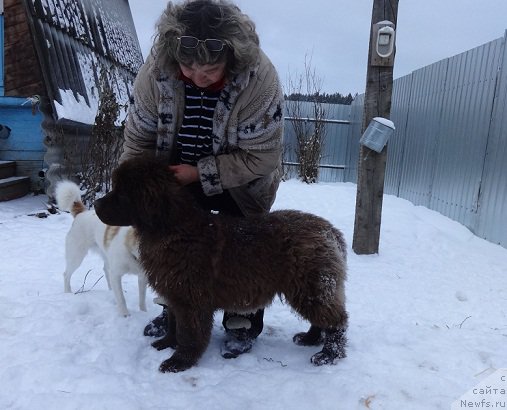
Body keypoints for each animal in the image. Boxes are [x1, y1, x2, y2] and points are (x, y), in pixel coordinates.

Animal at [55, 180, 148, 318]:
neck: (132, 252)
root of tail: (82, 213)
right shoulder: (116, 274)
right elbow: (122, 298)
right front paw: (125, 315)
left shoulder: (142, 277)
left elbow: (142, 300)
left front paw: (144, 314)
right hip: (76, 256)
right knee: (66, 274)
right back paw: (68, 293)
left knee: (105, 270)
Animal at [94, 156, 350, 372]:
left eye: (122, 193)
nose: (95, 204)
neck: (173, 229)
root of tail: (330, 231)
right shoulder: (175, 294)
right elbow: (173, 323)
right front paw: (166, 343)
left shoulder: (191, 300)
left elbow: (188, 333)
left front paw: (179, 361)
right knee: (323, 318)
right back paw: (310, 339)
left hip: (310, 286)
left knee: (336, 321)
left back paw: (327, 355)